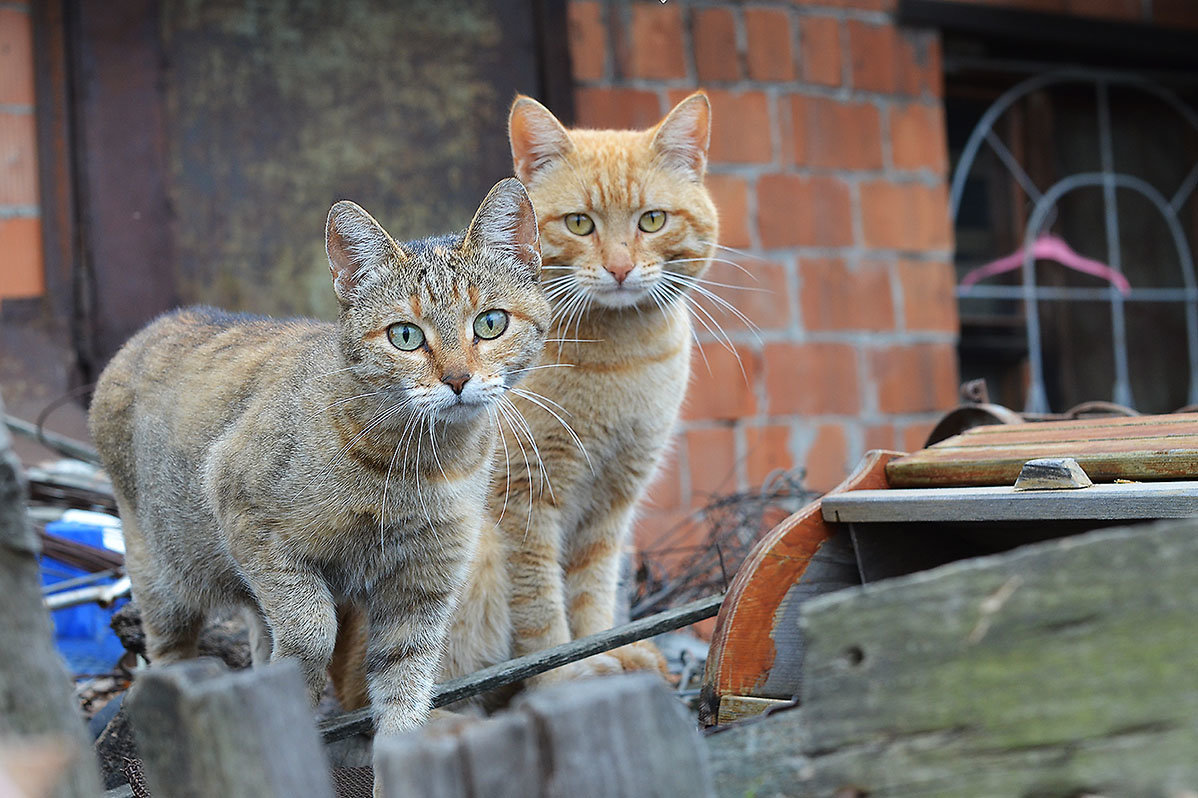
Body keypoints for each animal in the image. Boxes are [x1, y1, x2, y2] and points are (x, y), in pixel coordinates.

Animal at [89, 177, 551, 728]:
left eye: (490, 323)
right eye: (405, 335)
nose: (457, 379)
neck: (419, 463)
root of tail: (159, 322)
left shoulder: (422, 591)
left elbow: (404, 695)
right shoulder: (249, 520)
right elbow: (312, 630)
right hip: (162, 578)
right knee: (170, 655)